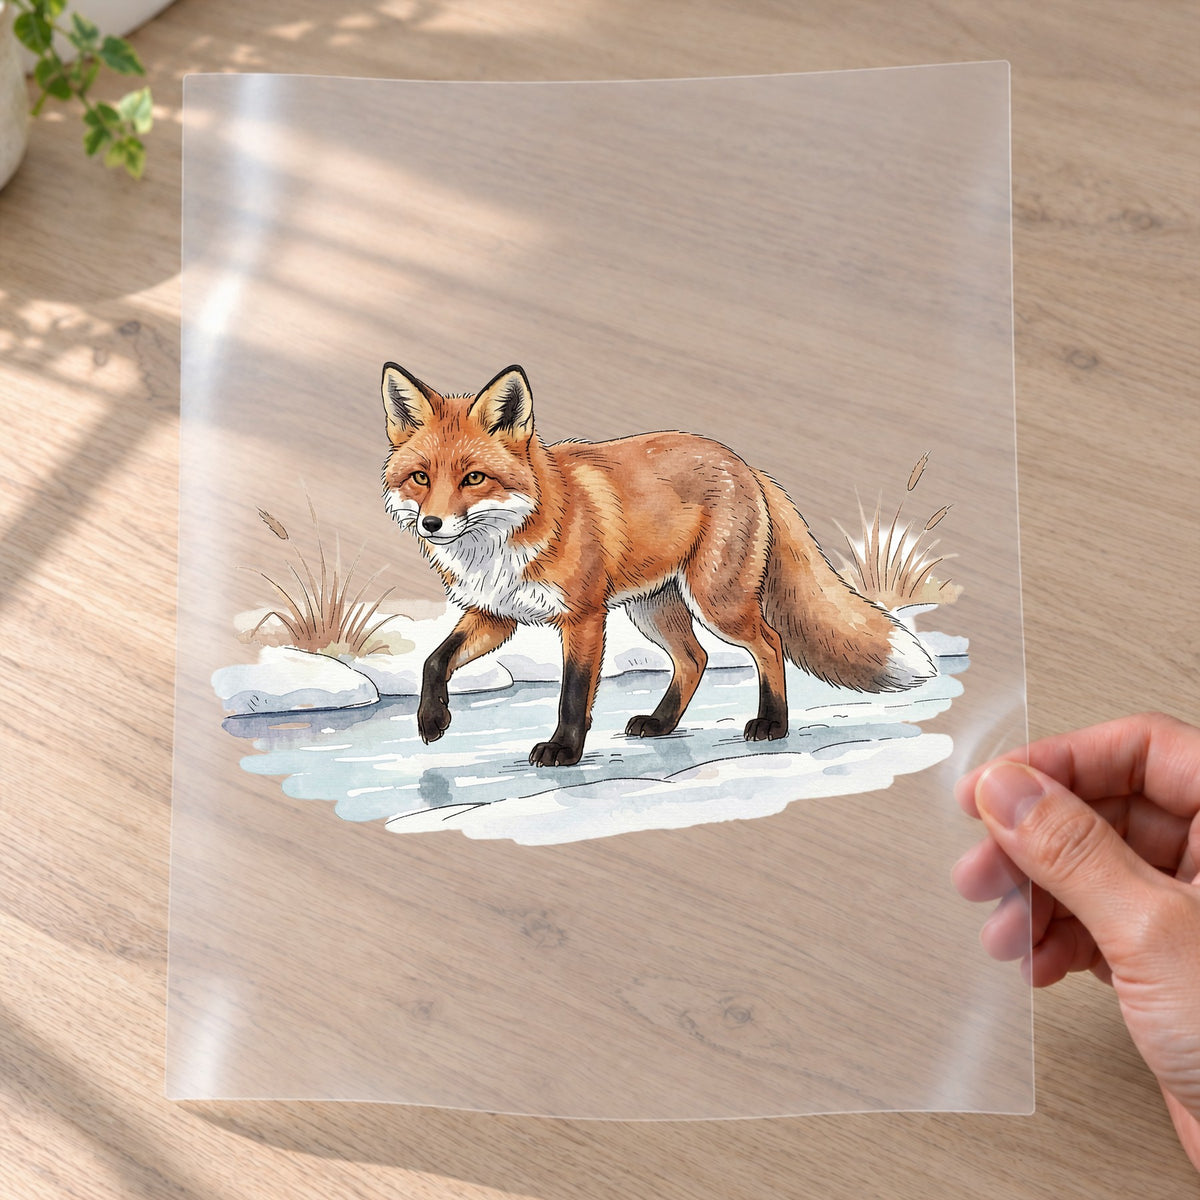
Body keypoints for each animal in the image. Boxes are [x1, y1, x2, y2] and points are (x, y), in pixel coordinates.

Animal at [380, 362, 936, 767]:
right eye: (420, 477)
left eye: (474, 478)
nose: (432, 524)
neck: (500, 544)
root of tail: (745, 464)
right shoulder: (495, 614)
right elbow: (434, 660)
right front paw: (432, 720)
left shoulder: (584, 617)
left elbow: (572, 694)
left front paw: (564, 750)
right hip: (654, 609)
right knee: (695, 659)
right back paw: (662, 723)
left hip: (718, 602)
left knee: (769, 642)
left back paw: (772, 724)